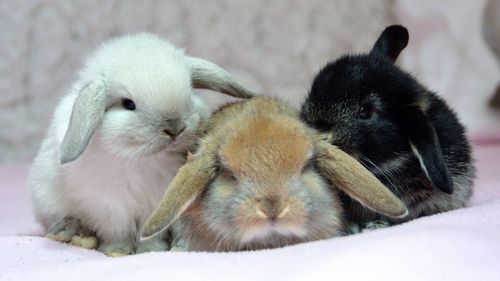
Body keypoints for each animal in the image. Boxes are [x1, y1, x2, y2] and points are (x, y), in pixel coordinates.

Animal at [26, 32, 254, 256]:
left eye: (190, 92)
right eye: (128, 104)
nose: (174, 128)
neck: (142, 159)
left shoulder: (156, 201)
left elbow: (151, 231)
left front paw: (151, 250)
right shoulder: (110, 205)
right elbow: (118, 231)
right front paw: (117, 251)